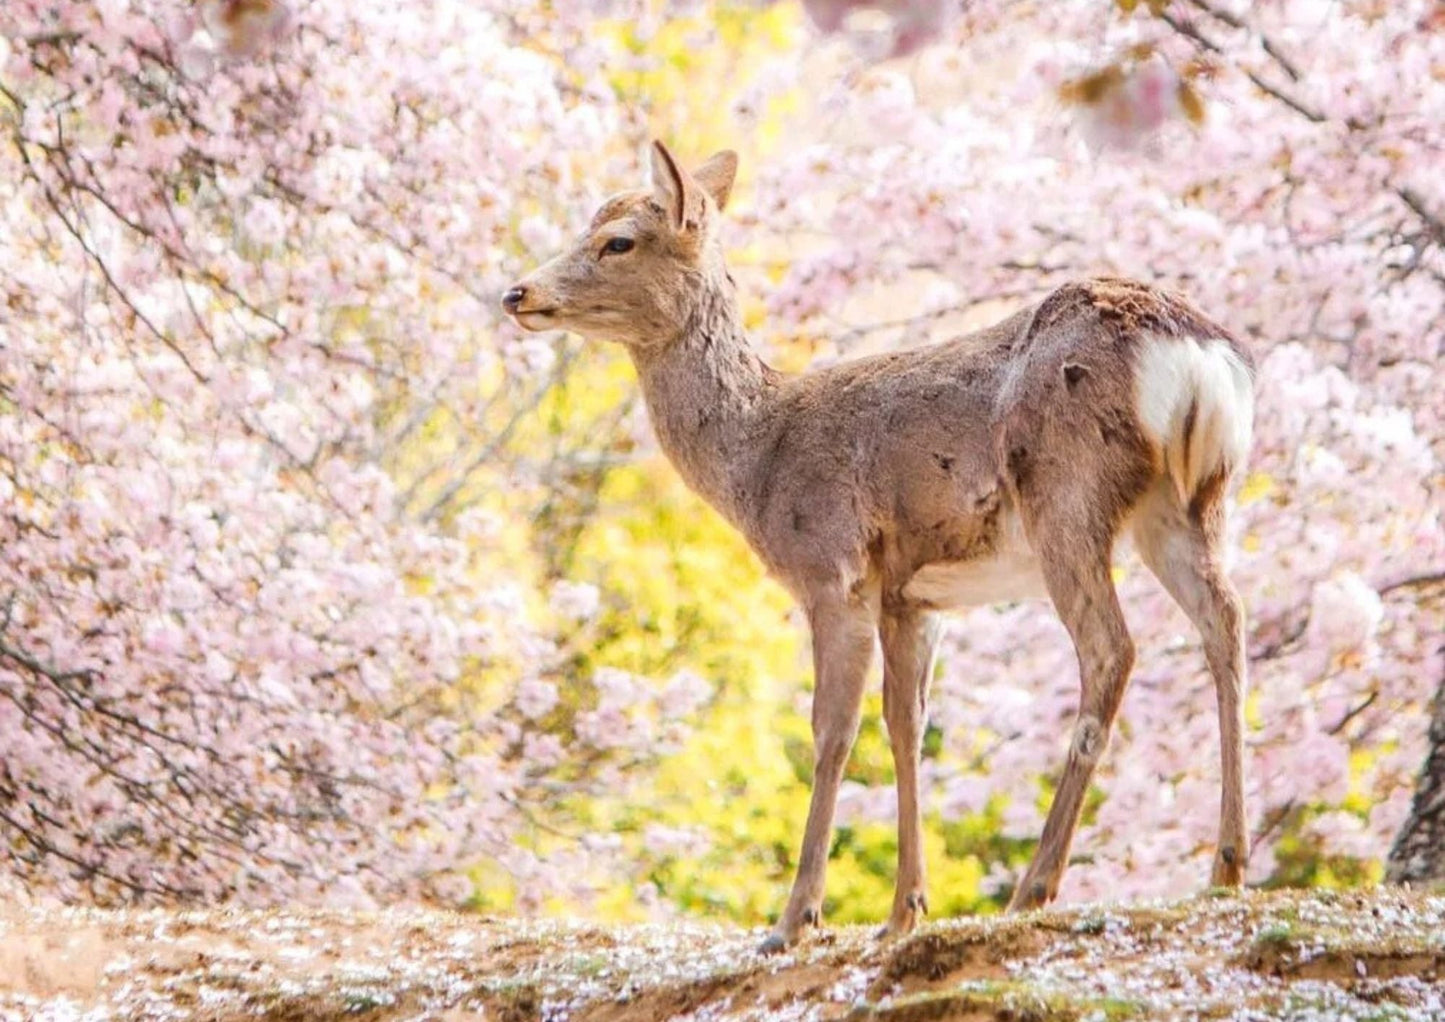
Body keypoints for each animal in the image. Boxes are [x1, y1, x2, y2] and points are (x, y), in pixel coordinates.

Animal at [505, 141, 1254, 954]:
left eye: (617, 241)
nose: (517, 293)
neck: (756, 460)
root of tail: (1196, 353)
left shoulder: (833, 572)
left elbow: (831, 731)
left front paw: (794, 919)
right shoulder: (913, 596)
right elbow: (905, 726)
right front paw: (904, 910)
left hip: (1067, 492)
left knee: (1111, 648)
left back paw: (1033, 887)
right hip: (1187, 503)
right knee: (1225, 621)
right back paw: (1226, 866)